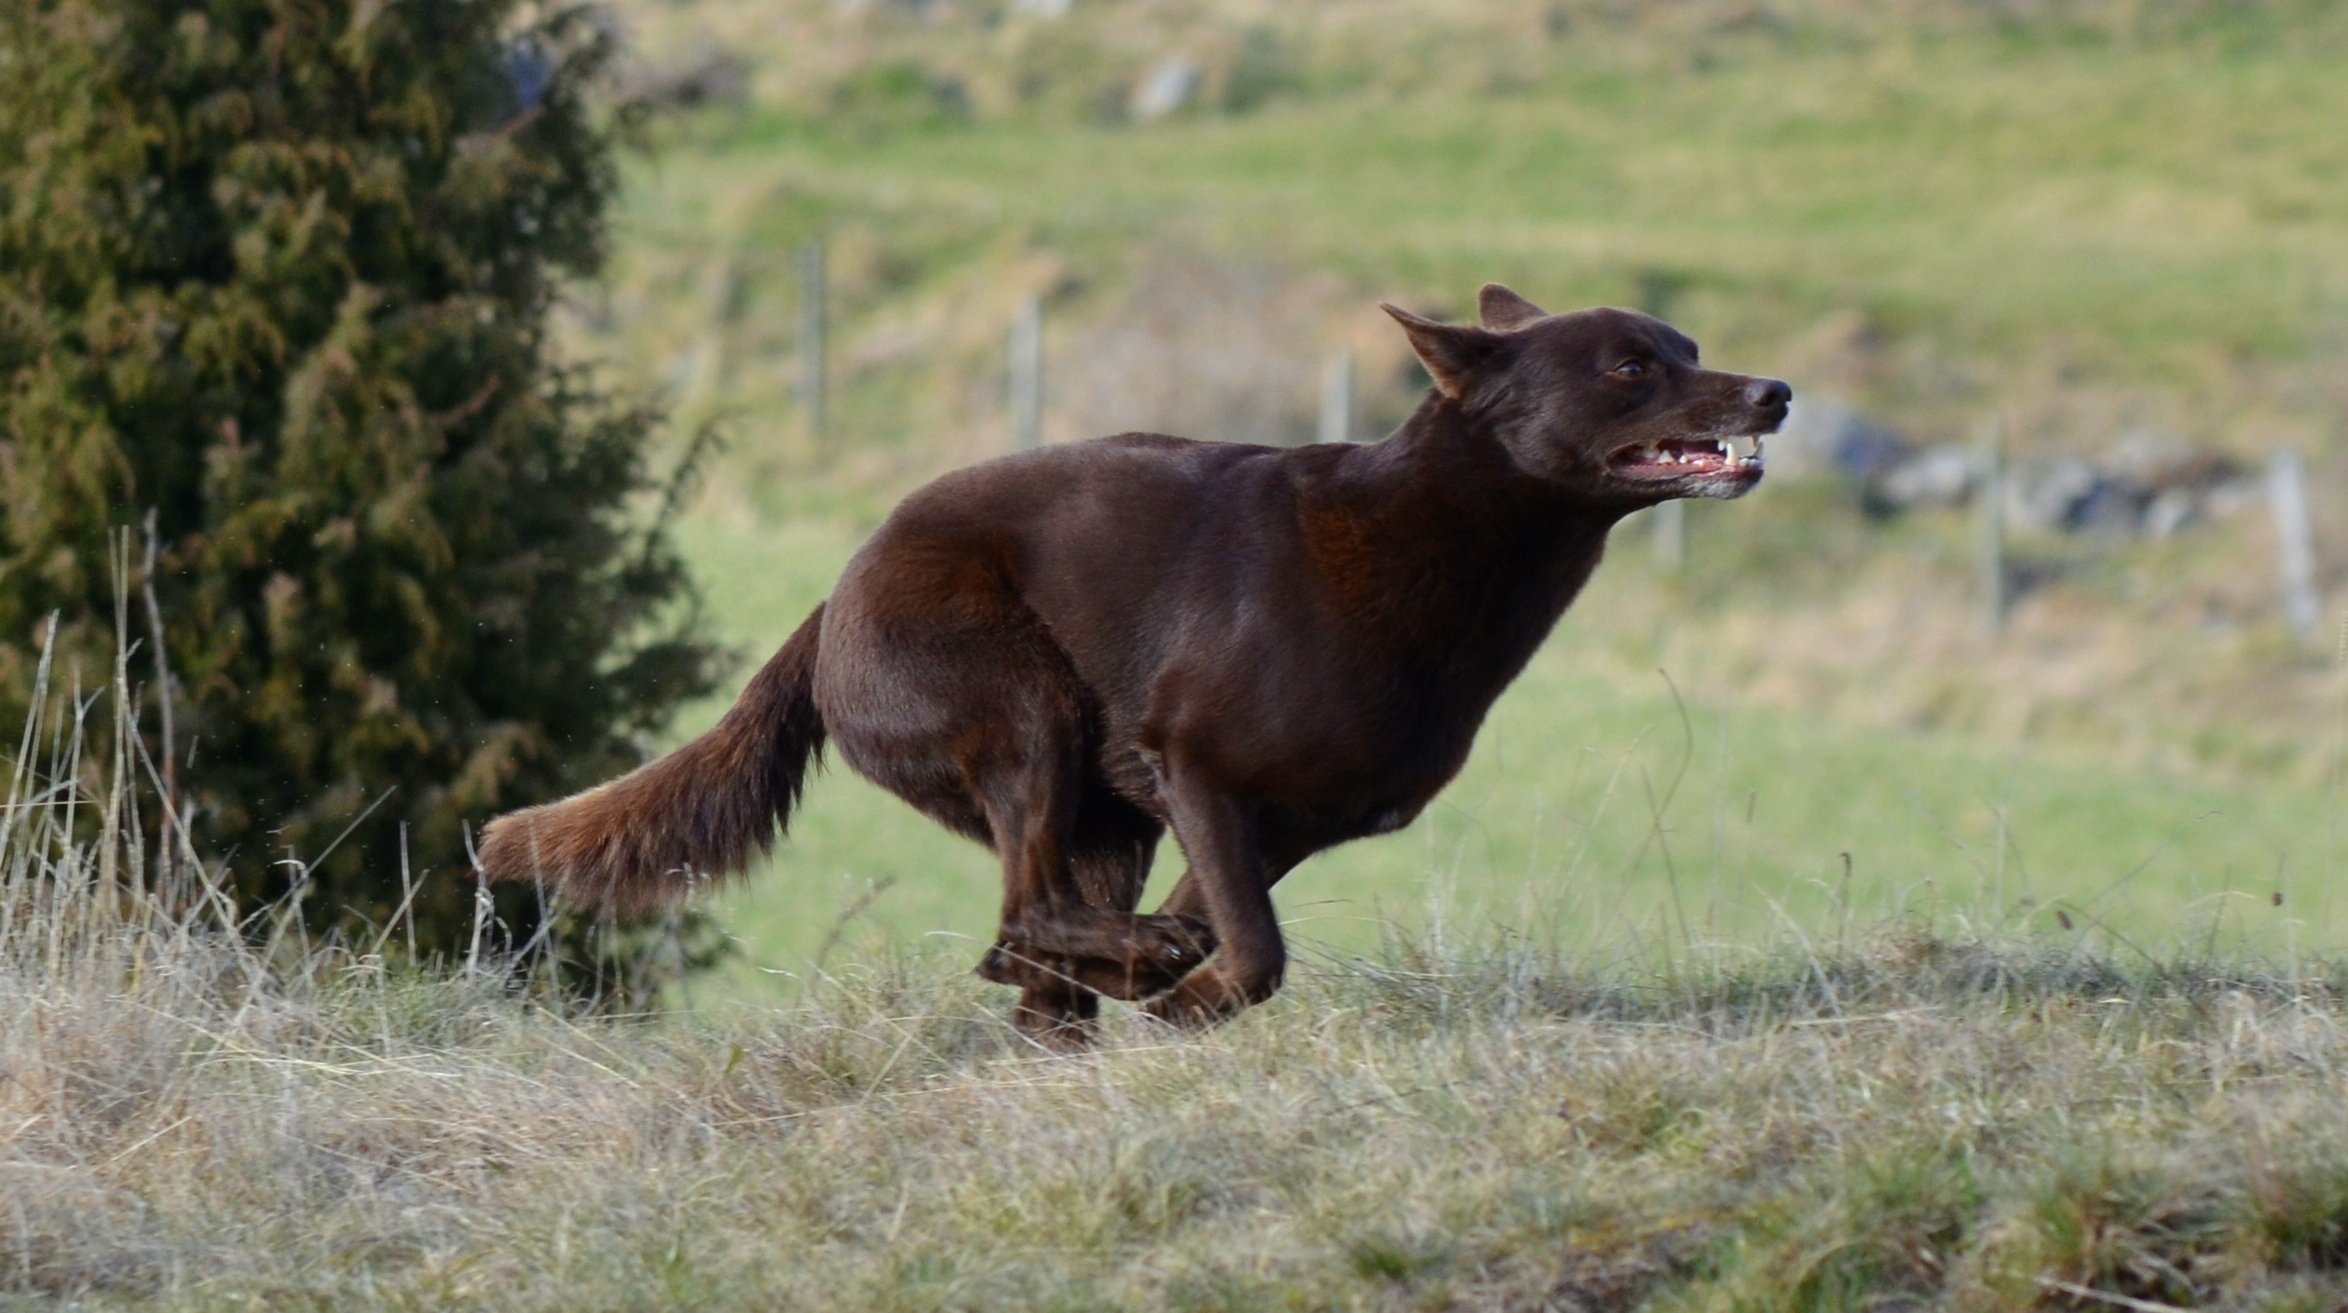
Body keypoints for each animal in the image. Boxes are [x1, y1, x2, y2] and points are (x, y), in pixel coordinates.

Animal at [478, 285, 1788, 1045]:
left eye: (1688, 347)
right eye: (1629, 368)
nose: (1775, 390)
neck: (1436, 538)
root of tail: (837, 593)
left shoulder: (1279, 821)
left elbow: (1224, 923)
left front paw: (1167, 991)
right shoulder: (1196, 764)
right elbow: (1251, 950)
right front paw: (1184, 1000)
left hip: (1102, 813)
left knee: (1038, 957)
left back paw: (1087, 999)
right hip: (1024, 711)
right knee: (1019, 920)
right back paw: (1116, 972)